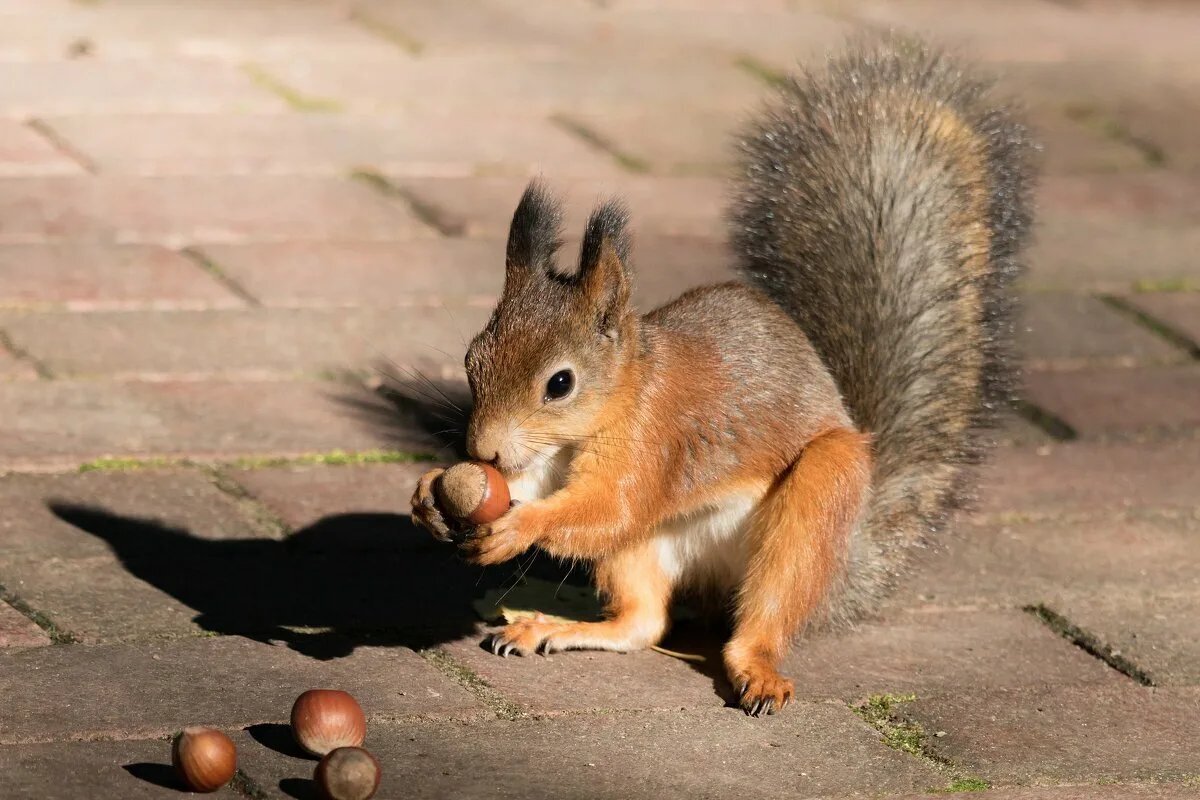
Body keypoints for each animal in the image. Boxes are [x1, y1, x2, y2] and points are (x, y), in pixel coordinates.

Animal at [410, 37, 1032, 714]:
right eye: (472, 359)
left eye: (560, 383)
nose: (482, 450)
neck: (620, 396)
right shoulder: (546, 462)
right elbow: (540, 492)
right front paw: (431, 495)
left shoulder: (652, 446)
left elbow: (606, 509)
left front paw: (520, 527)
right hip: (645, 551)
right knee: (644, 623)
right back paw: (552, 627)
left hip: (817, 500)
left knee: (760, 615)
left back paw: (756, 669)